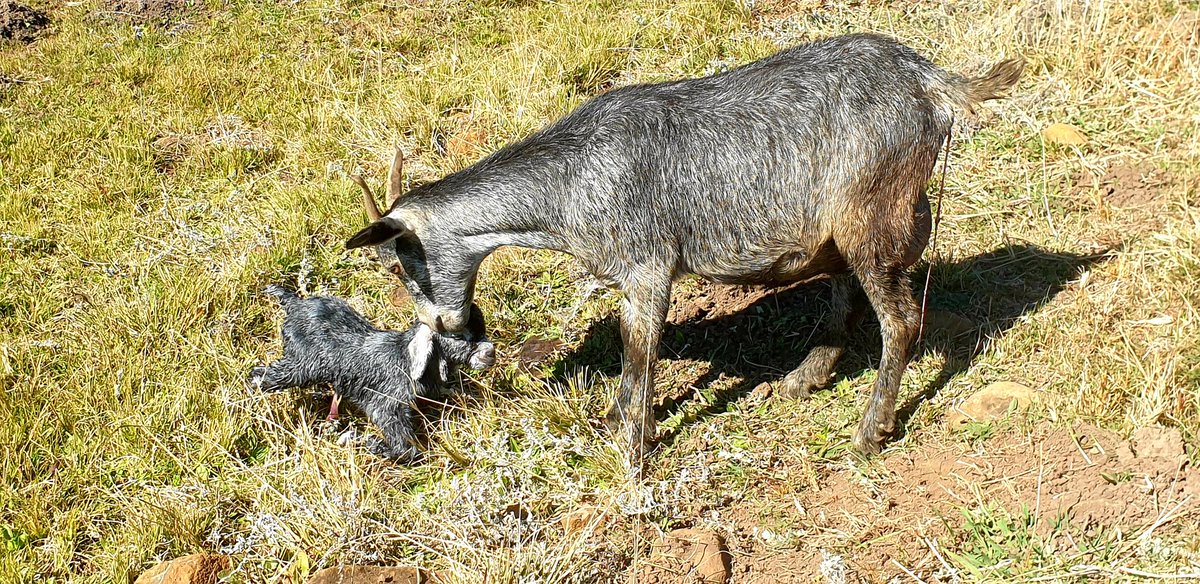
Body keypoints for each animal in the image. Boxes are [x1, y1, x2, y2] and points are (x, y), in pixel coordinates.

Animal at [249, 285, 495, 462]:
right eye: (460, 337)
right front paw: (377, 446)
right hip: (303, 365)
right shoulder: (385, 403)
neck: (405, 359)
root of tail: (295, 304)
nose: (490, 353)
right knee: (265, 374)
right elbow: (405, 446)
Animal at [343, 33, 1024, 474]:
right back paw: (805, 378)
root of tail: (934, 82)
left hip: (872, 209)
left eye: (402, 266)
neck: (569, 183)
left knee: (900, 317)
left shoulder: (647, 266)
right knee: (847, 292)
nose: (450, 326)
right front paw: (618, 425)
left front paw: (631, 452)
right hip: (844, 227)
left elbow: (639, 352)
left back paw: (868, 431)